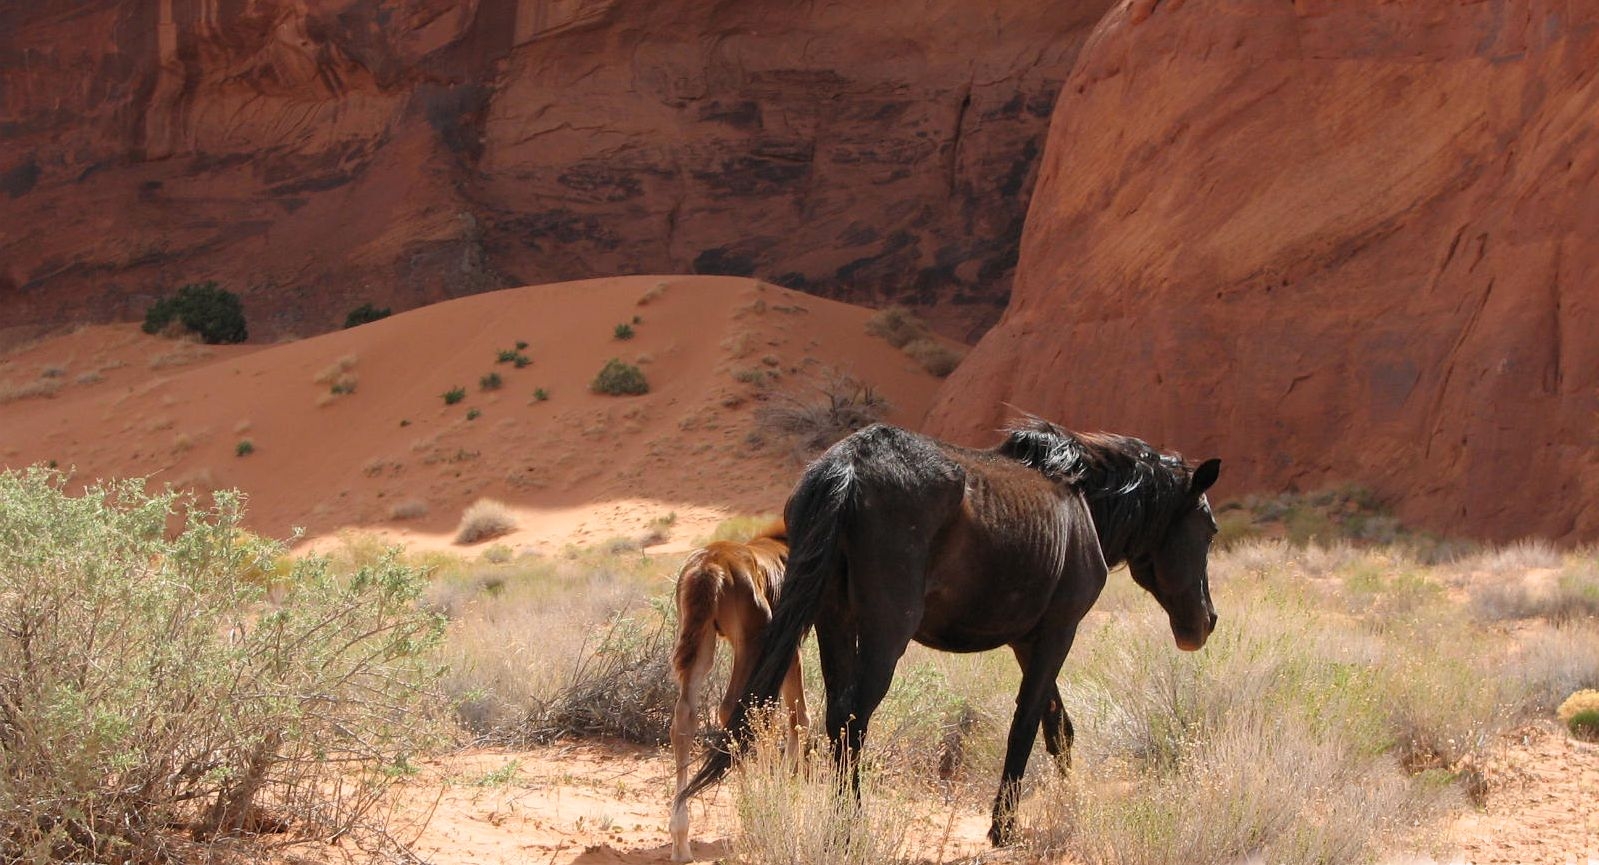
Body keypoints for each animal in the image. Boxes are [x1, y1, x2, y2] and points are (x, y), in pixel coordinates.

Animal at [677, 415, 1221, 844]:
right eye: (1210, 529)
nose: (1206, 622)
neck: (1081, 500)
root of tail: (849, 466)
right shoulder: (1058, 632)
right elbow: (1027, 725)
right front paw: (1004, 827)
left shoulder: (1029, 641)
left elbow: (1058, 729)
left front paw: (1069, 803)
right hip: (884, 633)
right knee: (854, 721)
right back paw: (850, 829)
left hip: (835, 623)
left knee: (837, 719)